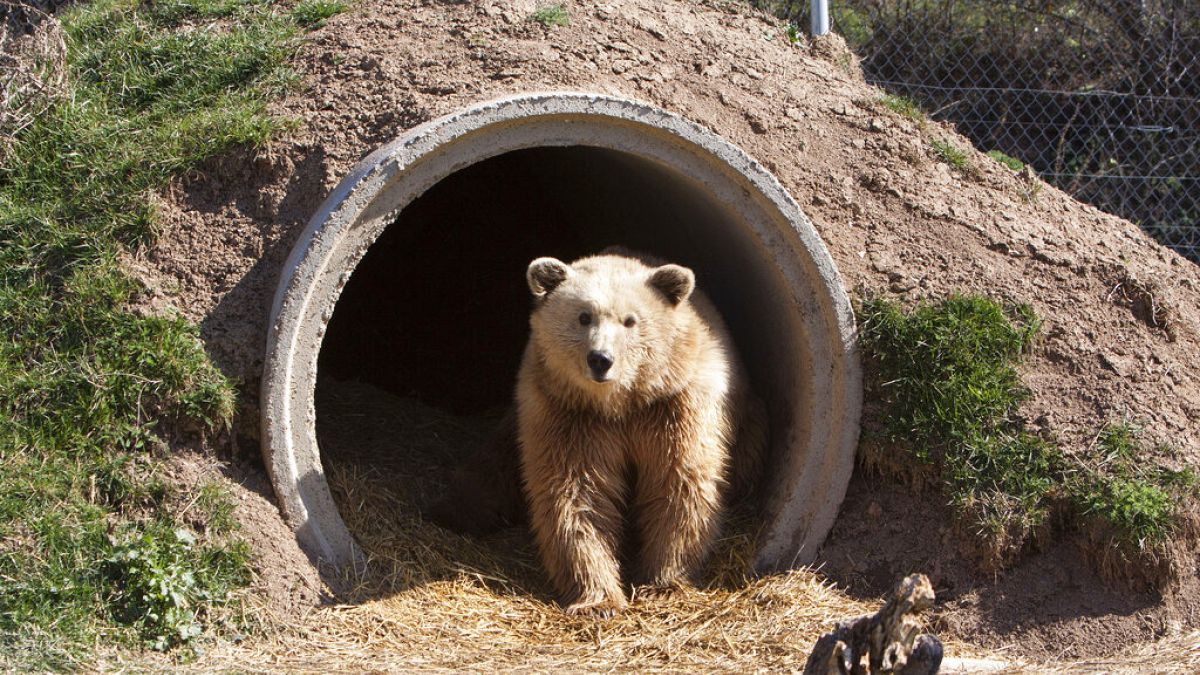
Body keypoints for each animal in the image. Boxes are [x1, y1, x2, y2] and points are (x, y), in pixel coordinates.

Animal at [518, 248, 763, 614]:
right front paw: (598, 599)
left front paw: (663, 583)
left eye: (630, 320)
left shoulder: (673, 406)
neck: (622, 403)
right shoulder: (570, 417)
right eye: (584, 316)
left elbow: (678, 484)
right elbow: (576, 494)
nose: (600, 359)